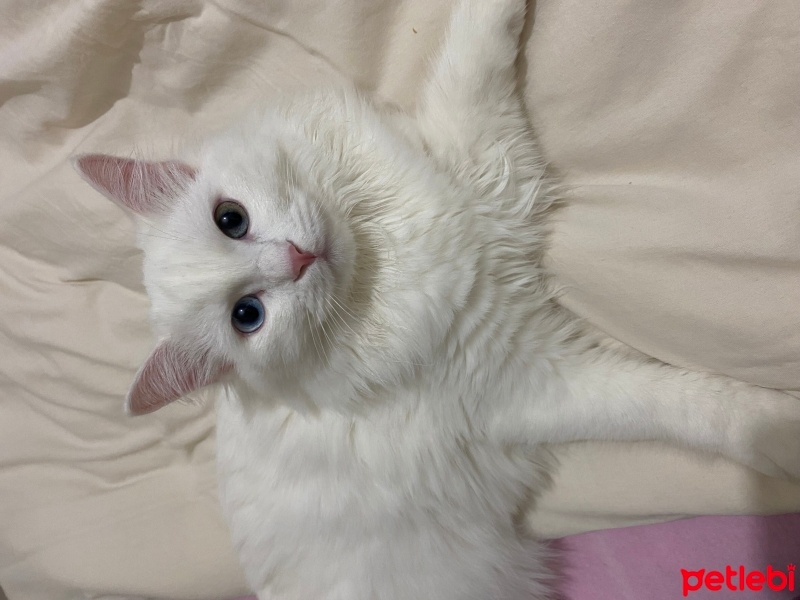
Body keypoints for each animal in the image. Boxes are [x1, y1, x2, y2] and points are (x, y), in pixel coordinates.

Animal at [72, 1, 796, 600]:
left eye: (231, 219)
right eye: (247, 317)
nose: (297, 258)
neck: (384, 260)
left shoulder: (469, 158)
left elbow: (473, 44)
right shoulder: (533, 378)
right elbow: (684, 403)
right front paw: (779, 431)